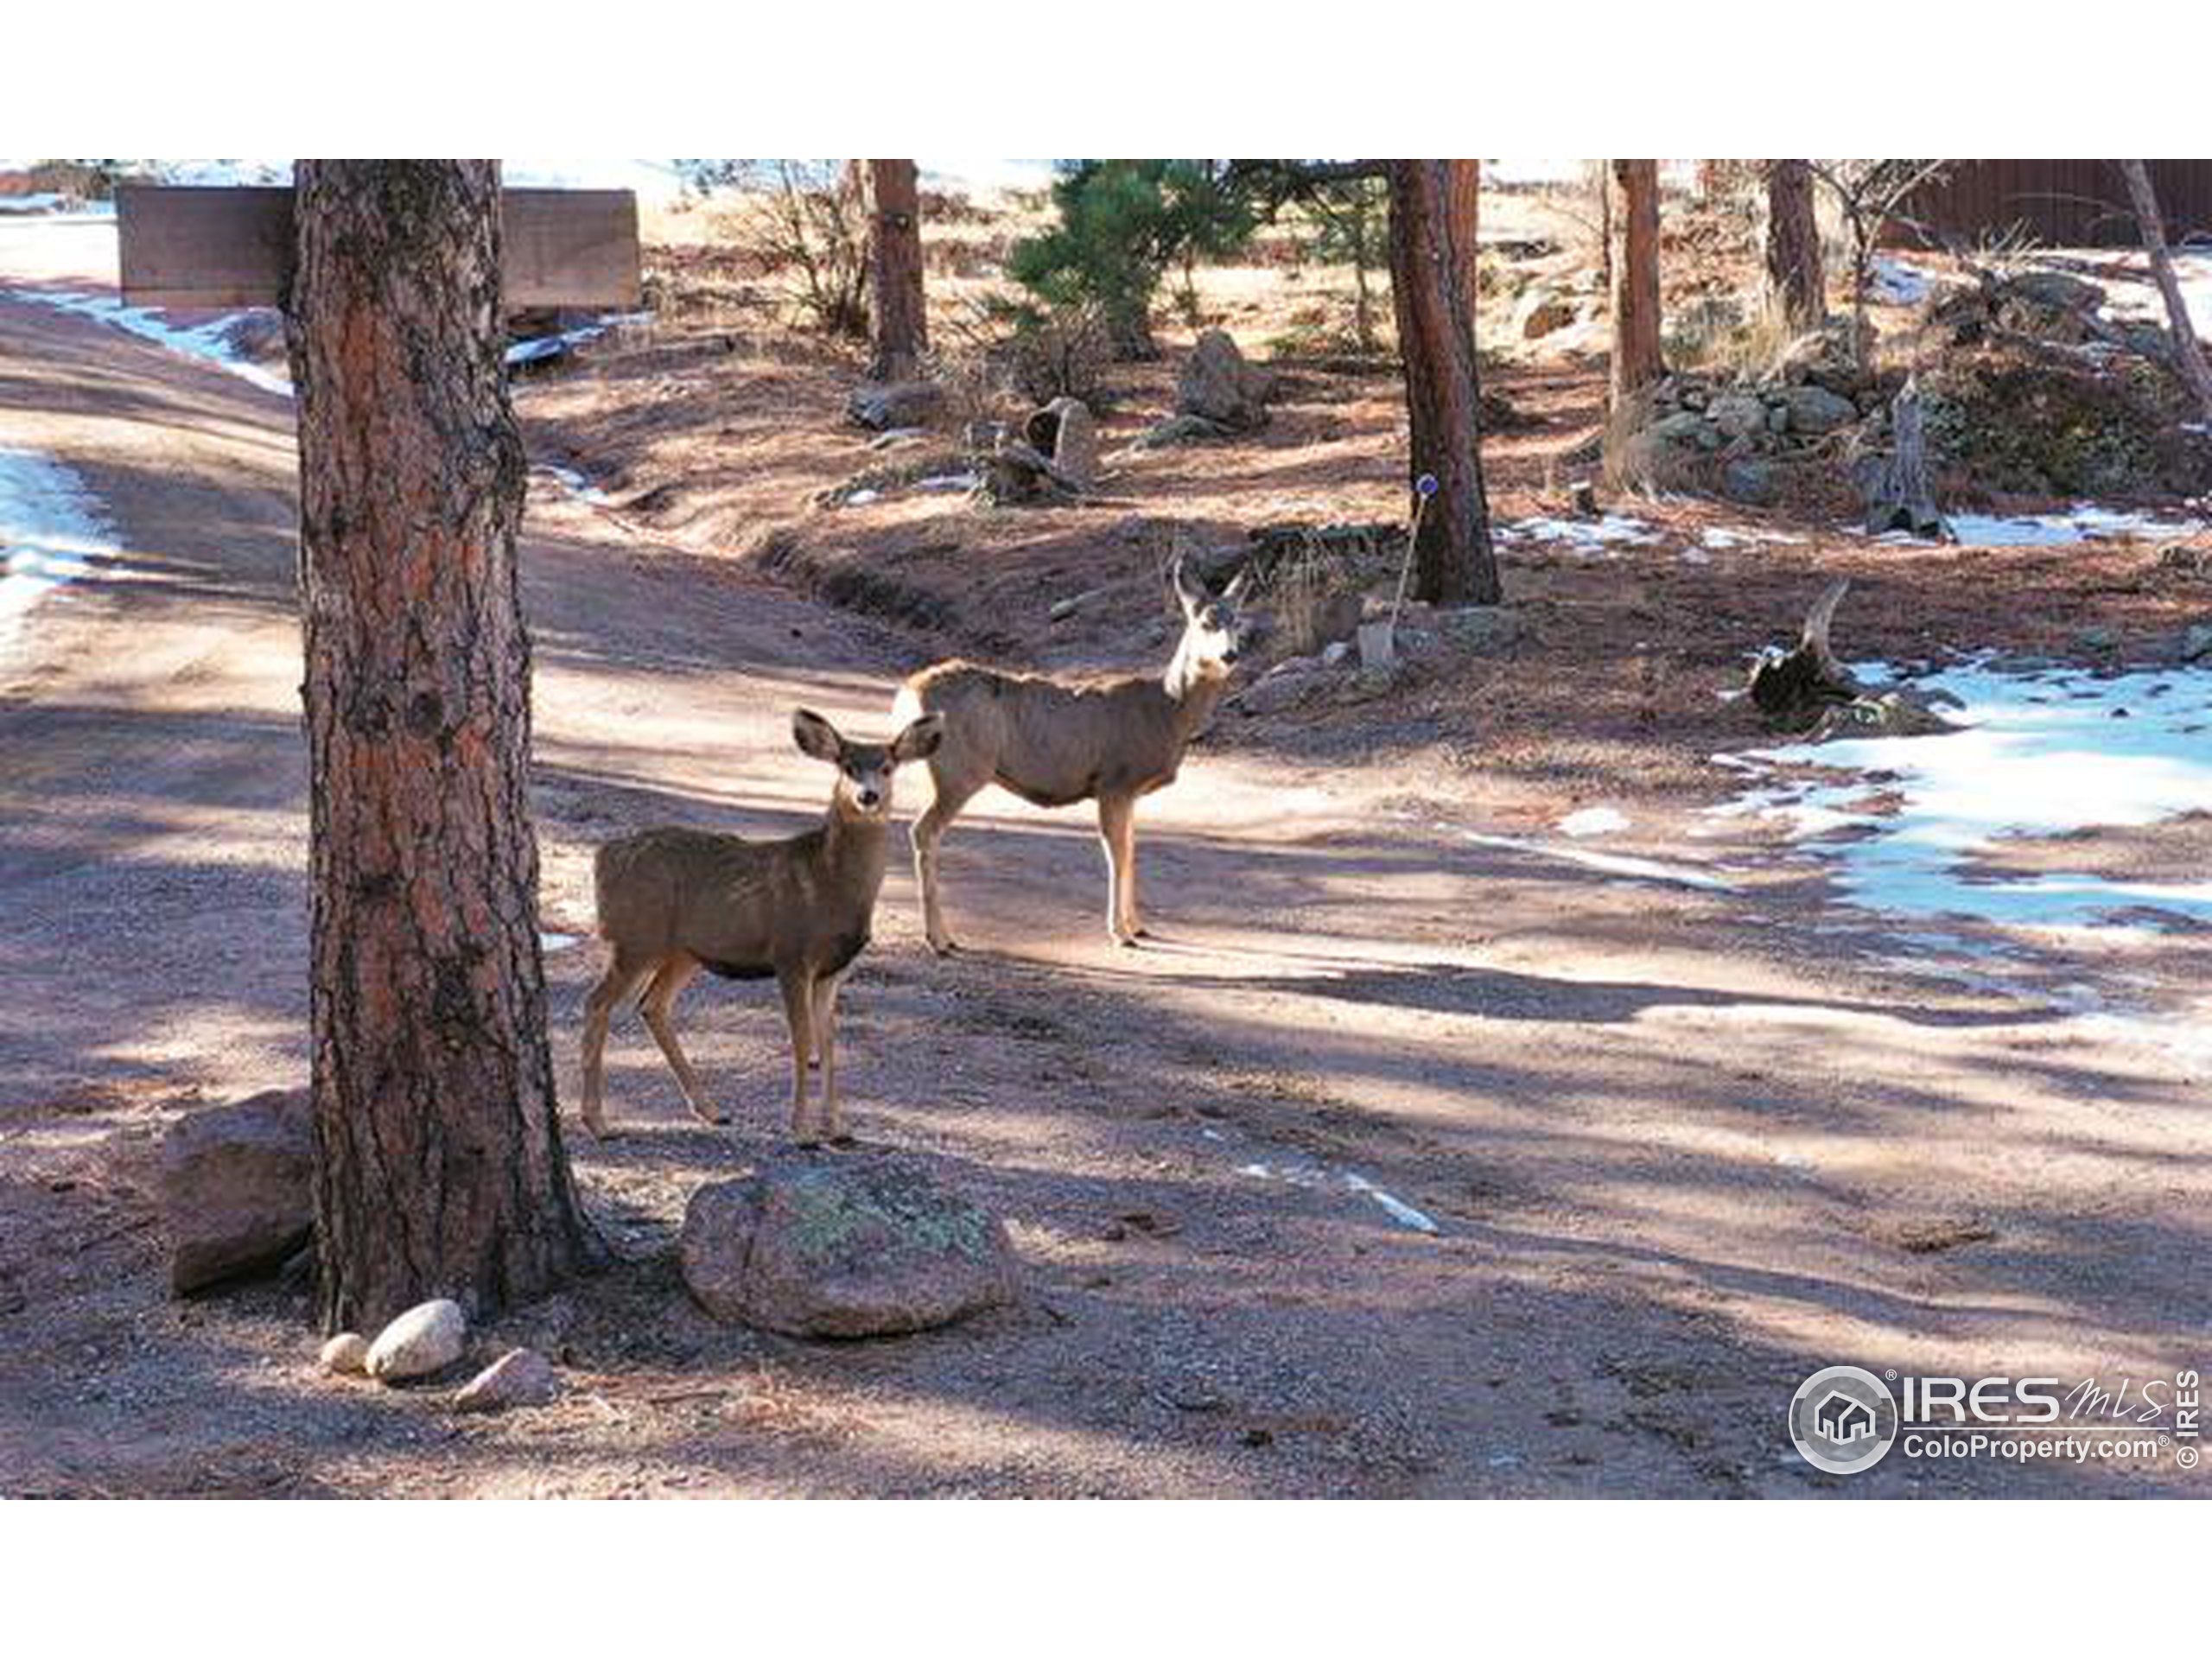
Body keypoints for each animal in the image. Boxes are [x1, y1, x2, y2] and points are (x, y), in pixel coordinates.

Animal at [579, 708, 942, 1150]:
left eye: (888, 767)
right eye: (847, 766)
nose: (867, 796)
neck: (829, 885)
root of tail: (601, 857)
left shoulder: (833, 970)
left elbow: (829, 1043)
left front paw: (838, 1129)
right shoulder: (790, 953)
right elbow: (802, 1040)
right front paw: (801, 1132)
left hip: (683, 951)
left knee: (652, 1005)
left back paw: (712, 1110)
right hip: (634, 937)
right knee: (597, 1004)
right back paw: (598, 1123)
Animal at [893, 555, 1247, 955]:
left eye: (1238, 620)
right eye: (1205, 623)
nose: (1230, 655)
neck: (1166, 709)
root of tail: (911, 691)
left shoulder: (1130, 791)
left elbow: (1132, 848)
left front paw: (1139, 926)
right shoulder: (1115, 781)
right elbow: (1116, 852)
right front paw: (1120, 933)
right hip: (960, 770)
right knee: (923, 831)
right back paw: (939, 938)